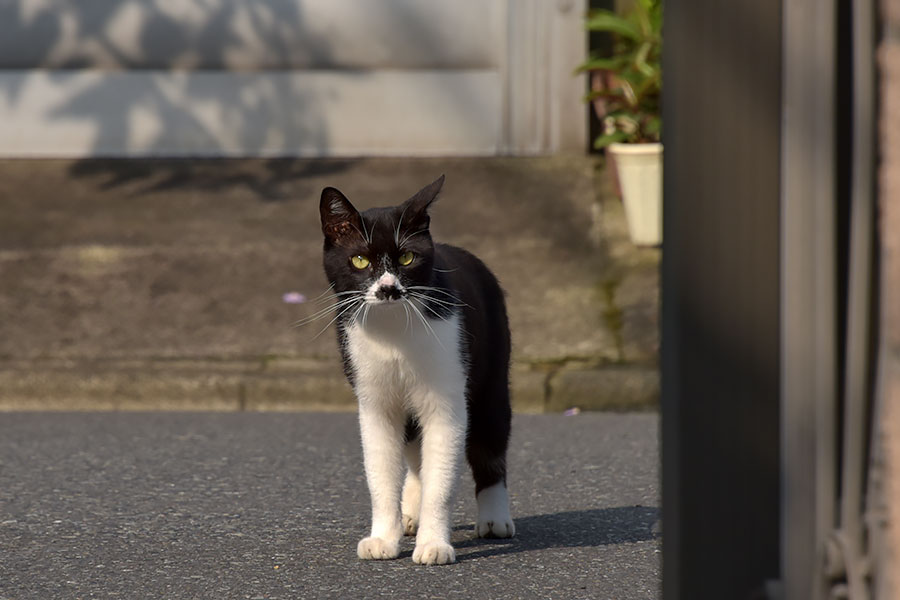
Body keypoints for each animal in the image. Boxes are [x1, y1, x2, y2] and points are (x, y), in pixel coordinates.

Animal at [318, 172, 512, 564]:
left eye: (407, 257)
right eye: (359, 260)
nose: (388, 288)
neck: (393, 333)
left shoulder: (447, 396)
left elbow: (443, 476)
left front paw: (434, 544)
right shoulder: (374, 401)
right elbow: (381, 473)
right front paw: (383, 538)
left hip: (492, 376)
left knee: (490, 444)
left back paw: (495, 518)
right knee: (414, 453)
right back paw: (410, 512)